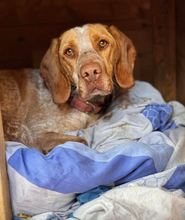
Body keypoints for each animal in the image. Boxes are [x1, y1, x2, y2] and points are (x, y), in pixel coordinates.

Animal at [0, 22, 136, 153]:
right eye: (69, 51)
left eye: (102, 43)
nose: (90, 72)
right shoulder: (37, 133)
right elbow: (82, 141)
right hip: (17, 126)